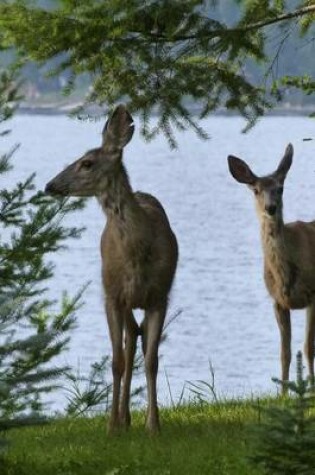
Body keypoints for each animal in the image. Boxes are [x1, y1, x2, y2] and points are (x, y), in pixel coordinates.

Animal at [44, 105, 179, 436]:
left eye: (86, 163)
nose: (50, 185)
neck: (137, 253)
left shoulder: (160, 295)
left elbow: (152, 360)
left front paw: (153, 426)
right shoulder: (112, 295)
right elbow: (116, 360)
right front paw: (112, 425)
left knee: (135, 338)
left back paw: (132, 417)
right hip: (116, 293)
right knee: (128, 342)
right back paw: (123, 418)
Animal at [228, 145, 315, 390]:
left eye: (280, 188)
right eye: (255, 190)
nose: (271, 207)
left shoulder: (313, 294)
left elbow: (308, 347)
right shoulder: (277, 301)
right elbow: (284, 353)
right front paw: (284, 392)